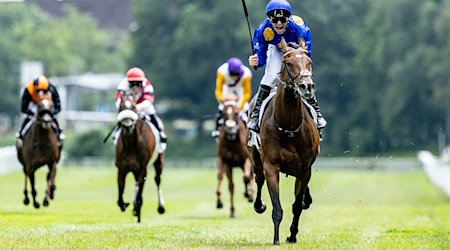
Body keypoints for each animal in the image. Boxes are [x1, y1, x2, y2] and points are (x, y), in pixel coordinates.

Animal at [115, 94, 166, 223]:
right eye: (121, 107)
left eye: (134, 107)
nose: (128, 126)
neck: (131, 145)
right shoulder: (122, 169)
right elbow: (121, 191)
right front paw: (125, 205)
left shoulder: (143, 168)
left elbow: (140, 191)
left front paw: (137, 210)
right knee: (136, 184)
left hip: (158, 161)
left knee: (157, 180)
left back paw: (160, 207)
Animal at [250, 38, 320, 245]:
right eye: (289, 63)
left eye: (309, 62)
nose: (307, 86)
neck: (288, 127)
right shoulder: (271, 166)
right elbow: (277, 209)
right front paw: (276, 240)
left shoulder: (305, 169)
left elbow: (296, 206)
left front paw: (292, 235)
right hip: (256, 158)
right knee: (258, 179)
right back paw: (259, 205)